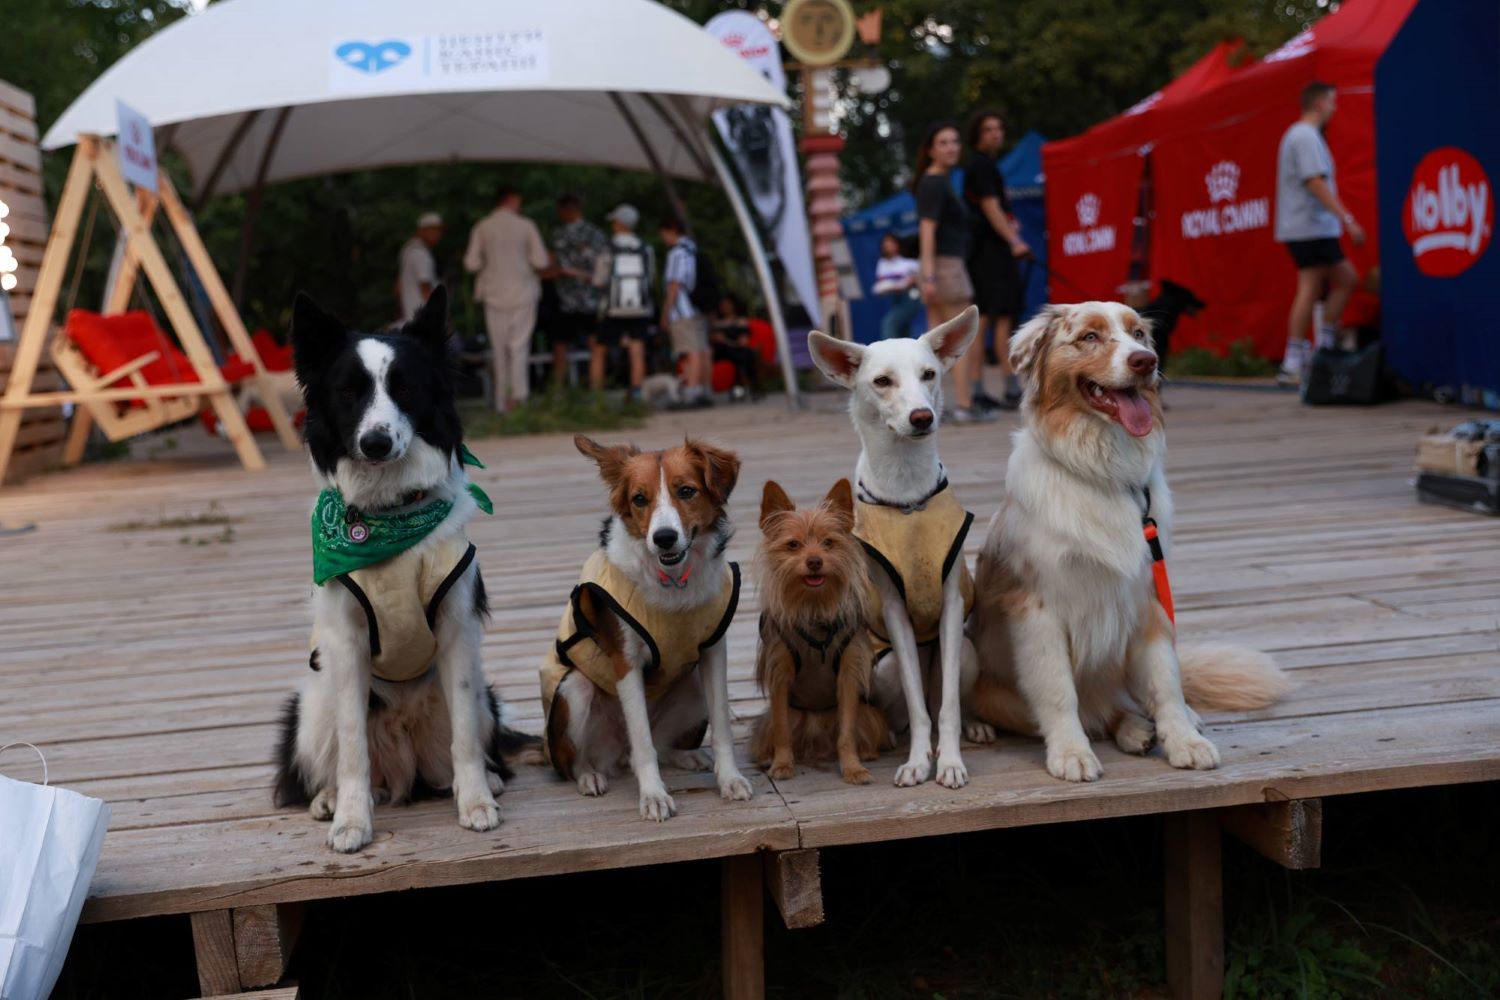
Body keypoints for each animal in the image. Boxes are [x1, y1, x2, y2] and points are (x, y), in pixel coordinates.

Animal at [537, 437, 750, 821]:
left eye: (686, 491)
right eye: (639, 499)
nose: (664, 538)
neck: (673, 584)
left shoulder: (712, 651)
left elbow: (722, 727)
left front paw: (729, 779)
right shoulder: (627, 661)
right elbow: (642, 741)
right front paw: (653, 795)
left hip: (692, 682)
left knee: (662, 745)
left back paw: (686, 755)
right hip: (574, 689)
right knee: (577, 760)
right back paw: (589, 775)